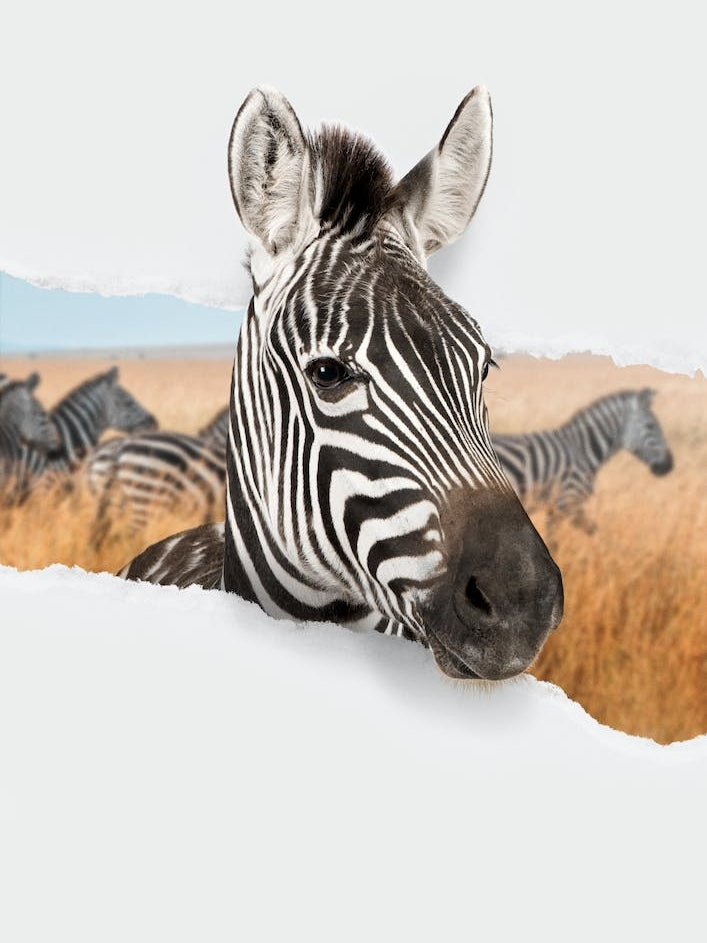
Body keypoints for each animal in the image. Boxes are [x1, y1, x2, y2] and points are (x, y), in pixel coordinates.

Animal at [492, 389, 673, 536]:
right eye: (650, 426)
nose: (669, 466)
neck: (582, 451)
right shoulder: (567, 501)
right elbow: (591, 532)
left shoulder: (555, 508)